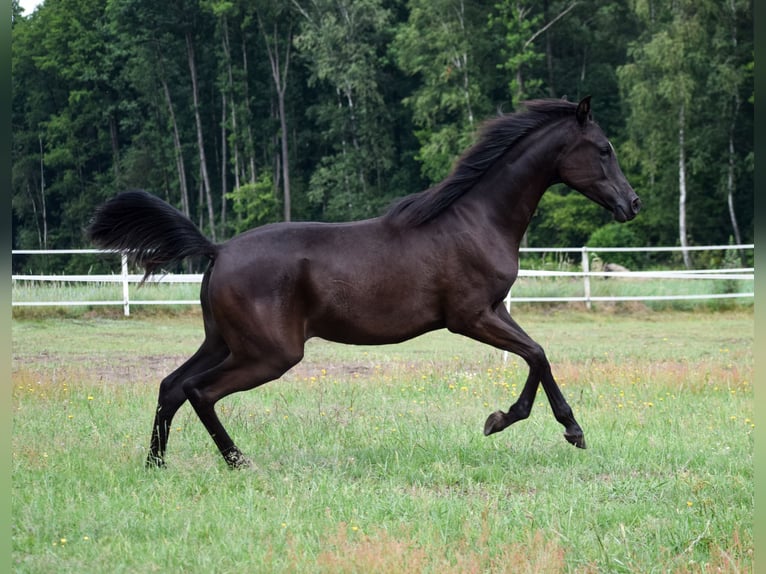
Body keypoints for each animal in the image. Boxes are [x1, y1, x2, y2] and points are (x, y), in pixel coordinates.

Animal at [87, 97, 640, 470]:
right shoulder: (470, 317)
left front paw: (535, 423)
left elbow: (536, 354)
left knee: (171, 385)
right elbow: (537, 354)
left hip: (224, 341)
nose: (632, 204)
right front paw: (536, 424)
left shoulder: (495, 311)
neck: (476, 220)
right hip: (269, 353)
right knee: (199, 391)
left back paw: (155, 465)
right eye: (604, 148)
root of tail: (218, 249)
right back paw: (238, 461)